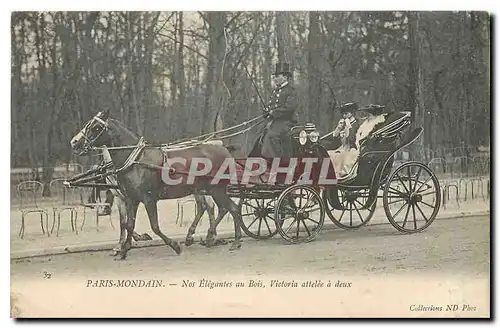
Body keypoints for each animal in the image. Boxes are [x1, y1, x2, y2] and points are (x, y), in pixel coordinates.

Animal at [70, 111, 242, 260]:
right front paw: (124, 250)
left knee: (230, 208)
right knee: (221, 208)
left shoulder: (148, 199)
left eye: (95, 127)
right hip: (208, 190)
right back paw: (214, 237)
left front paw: (175, 246)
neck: (136, 161)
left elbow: (154, 226)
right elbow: (128, 224)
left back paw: (232, 241)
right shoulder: (131, 199)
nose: (74, 142)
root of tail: (224, 149)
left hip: (216, 189)